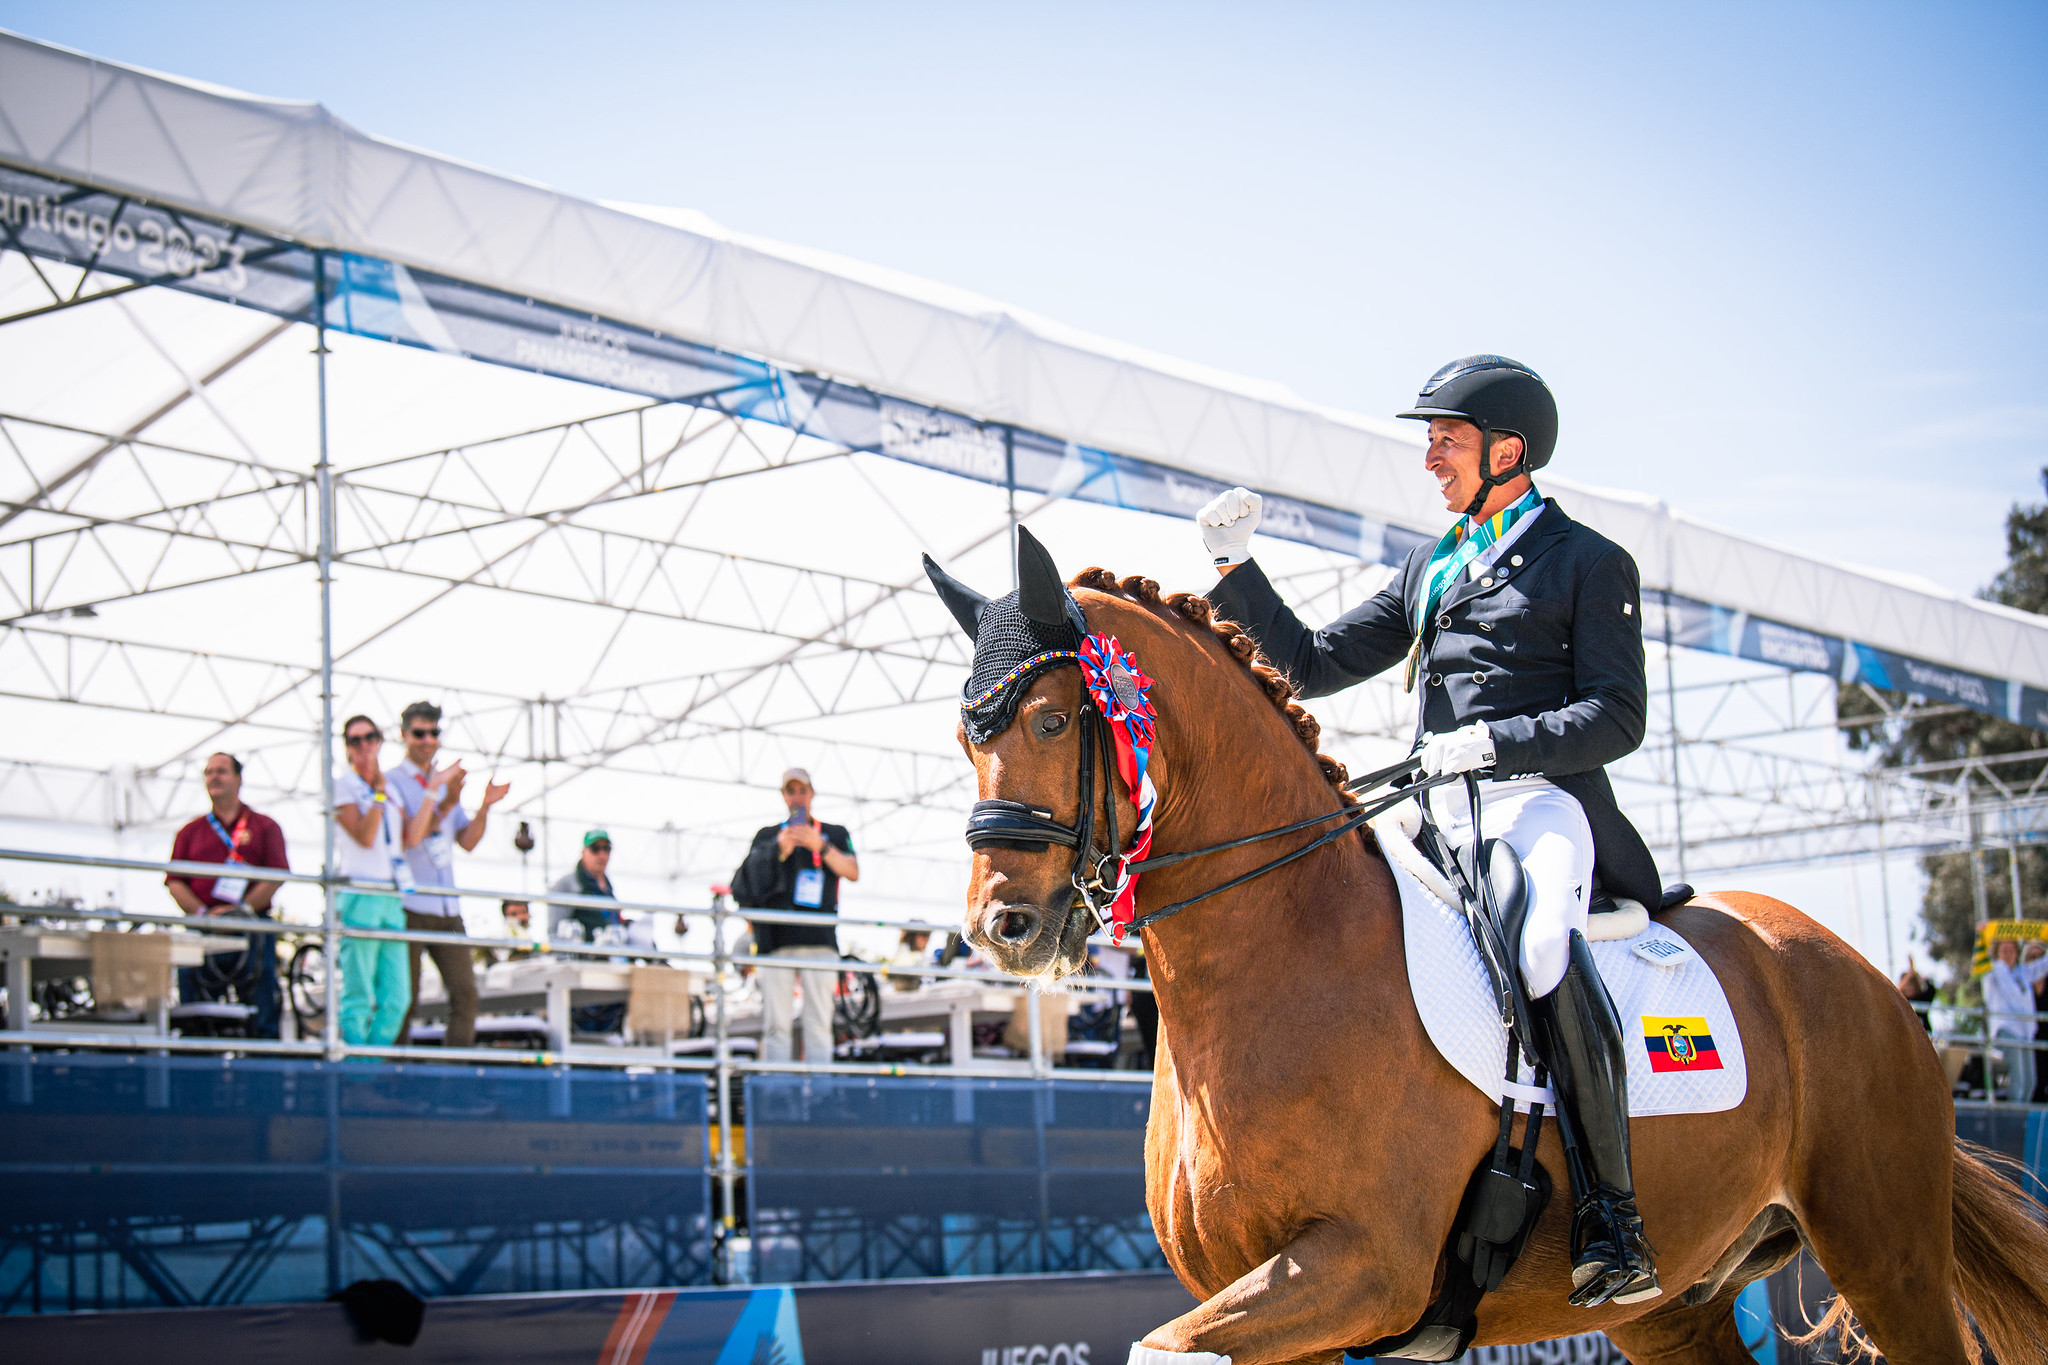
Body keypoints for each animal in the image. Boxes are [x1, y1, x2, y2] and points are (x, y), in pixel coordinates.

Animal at [950, 564, 2048, 1365]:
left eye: (1053, 719)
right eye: (967, 738)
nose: (1001, 927)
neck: (1276, 960)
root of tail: (1863, 978)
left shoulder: (1362, 1267)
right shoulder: (1279, 1305)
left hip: (1885, 1253)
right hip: (1679, 1308)